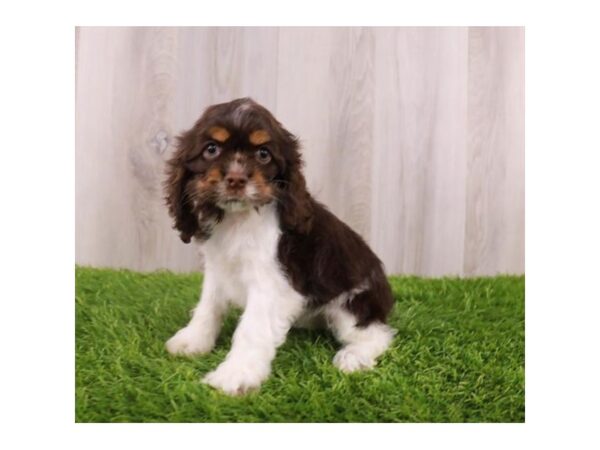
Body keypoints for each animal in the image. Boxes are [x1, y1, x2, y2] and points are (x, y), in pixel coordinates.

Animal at [164, 97, 396, 394]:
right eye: (211, 149)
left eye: (264, 154)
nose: (236, 179)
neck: (239, 218)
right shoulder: (218, 268)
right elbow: (209, 305)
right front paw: (192, 340)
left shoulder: (272, 285)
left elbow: (251, 329)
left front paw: (234, 375)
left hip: (352, 303)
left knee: (377, 333)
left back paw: (353, 357)